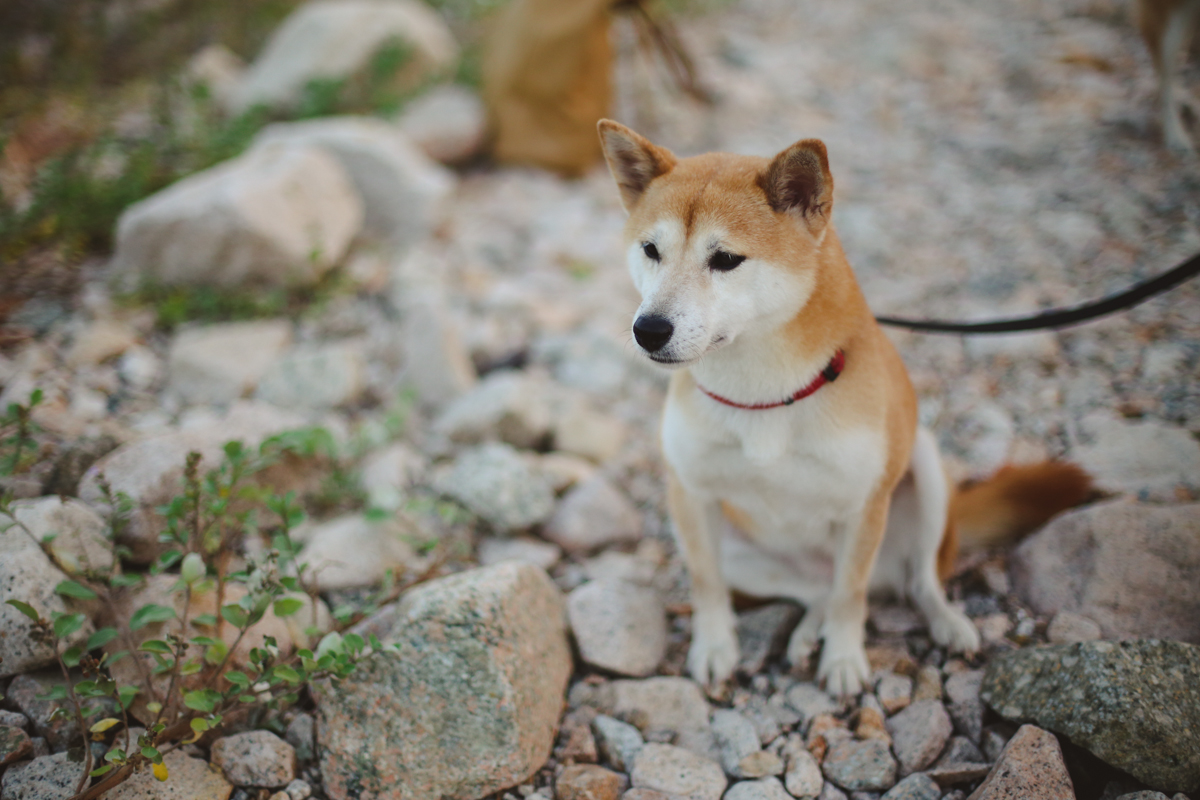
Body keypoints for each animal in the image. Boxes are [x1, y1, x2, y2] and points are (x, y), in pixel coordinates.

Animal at [595, 118, 1094, 695]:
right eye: (651, 249)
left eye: (725, 259)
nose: (648, 330)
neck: (764, 393)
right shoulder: (690, 495)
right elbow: (707, 584)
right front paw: (715, 648)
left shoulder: (863, 508)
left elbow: (850, 595)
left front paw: (844, 658)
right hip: (743, 552)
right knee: (817, 592)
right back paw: (806, 634)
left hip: (925, 468)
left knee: (915, 581)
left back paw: (946, 624)